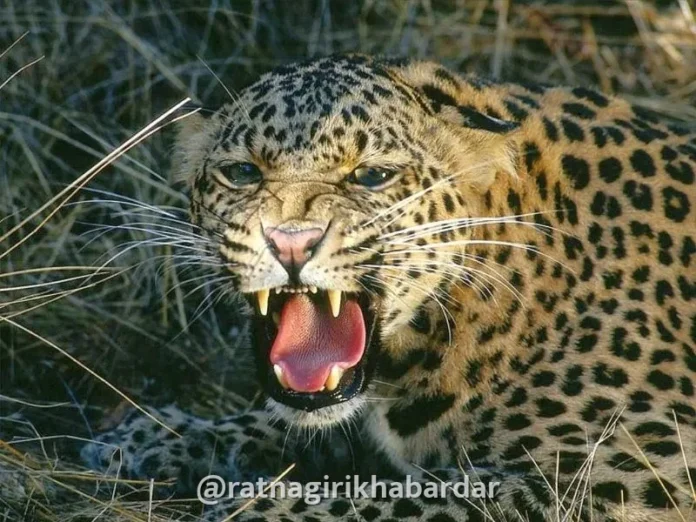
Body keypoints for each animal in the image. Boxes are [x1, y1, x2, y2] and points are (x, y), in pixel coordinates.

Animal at [82, 54, 696, 522]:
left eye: (372, 176)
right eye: (243, 173)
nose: (290, 243)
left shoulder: (646, 467)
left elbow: (443, 495)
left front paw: (259, 508)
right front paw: (154, 437)